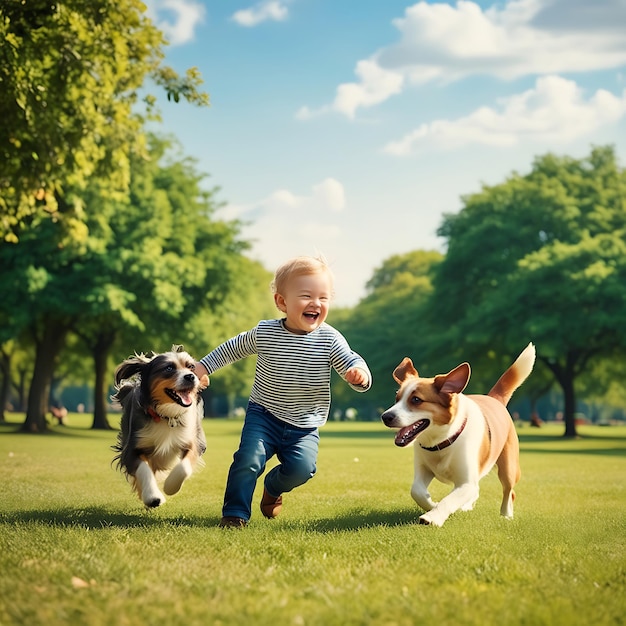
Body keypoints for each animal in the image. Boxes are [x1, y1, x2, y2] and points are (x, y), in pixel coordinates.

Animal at [111, 346, 208, 508]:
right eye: (169, 368)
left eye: (191, 367)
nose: (190, 377)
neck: (166, 416)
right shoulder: (131, 449)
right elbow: (144, 469)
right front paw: (152, 496)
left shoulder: (193, 441)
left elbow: (184, 467)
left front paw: (170, 486)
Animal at [378, 344, 532, 524]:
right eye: (397, 398)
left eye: (416, 400)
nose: (385, 416)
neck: (440, 442)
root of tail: (495, 399)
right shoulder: (423, 468)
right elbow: (416, 490)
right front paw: (431, 504)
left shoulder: (466, 482)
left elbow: (450, 499)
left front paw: (432, 517)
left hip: (508, 467)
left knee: (509, 490)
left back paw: (506, 514)